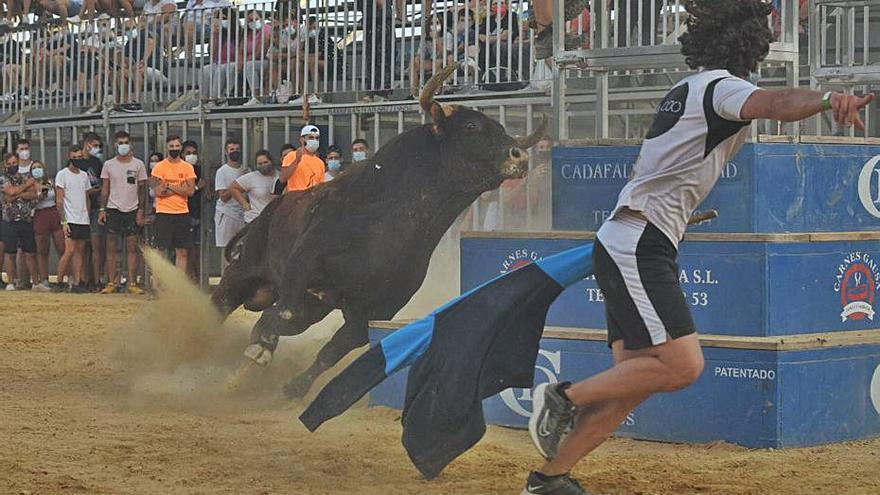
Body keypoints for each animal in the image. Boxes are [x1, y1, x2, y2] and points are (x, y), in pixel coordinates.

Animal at [211, 67, 544, 400]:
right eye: (472, 126)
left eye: (500, 127)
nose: (519, 156)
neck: (387, 222)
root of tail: (268, 211)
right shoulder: (303, 263)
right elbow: (284, 313)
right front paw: (261, 348)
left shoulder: (368, 315)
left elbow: (328, 353)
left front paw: (294, 387)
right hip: (244, 271)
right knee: (222, 303)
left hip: (313, 306)